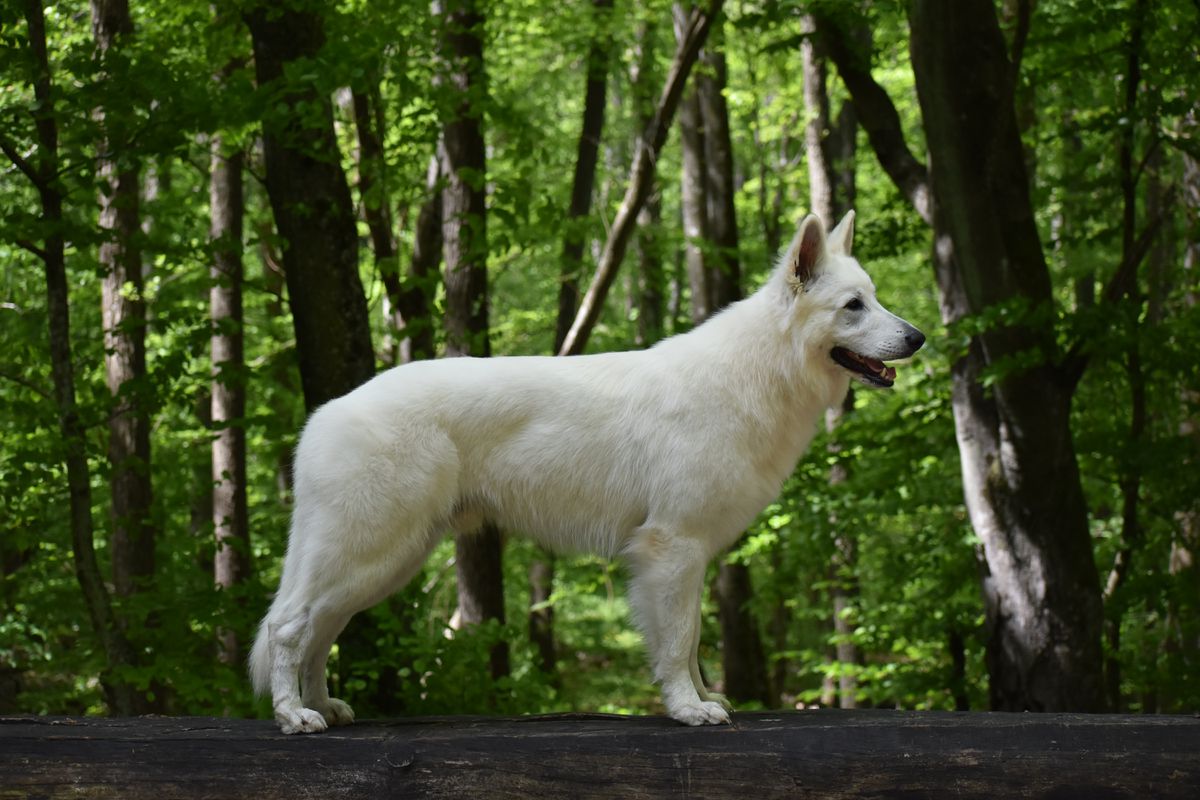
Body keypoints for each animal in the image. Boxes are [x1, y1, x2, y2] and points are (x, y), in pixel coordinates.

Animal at [250, 209, 926, 734]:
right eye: (853, 306)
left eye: (875, 297)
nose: (919, 337)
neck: (756, 372)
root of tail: (326, 414)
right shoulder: (671, 548)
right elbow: (678, 641)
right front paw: (689, 709)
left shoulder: (687, 556)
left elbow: (691, 640)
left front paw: (702, 697)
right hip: (371, 548)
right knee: (289, 626)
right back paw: (294, 716)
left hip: (385, 560)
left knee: (321, 628)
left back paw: (323, 706)